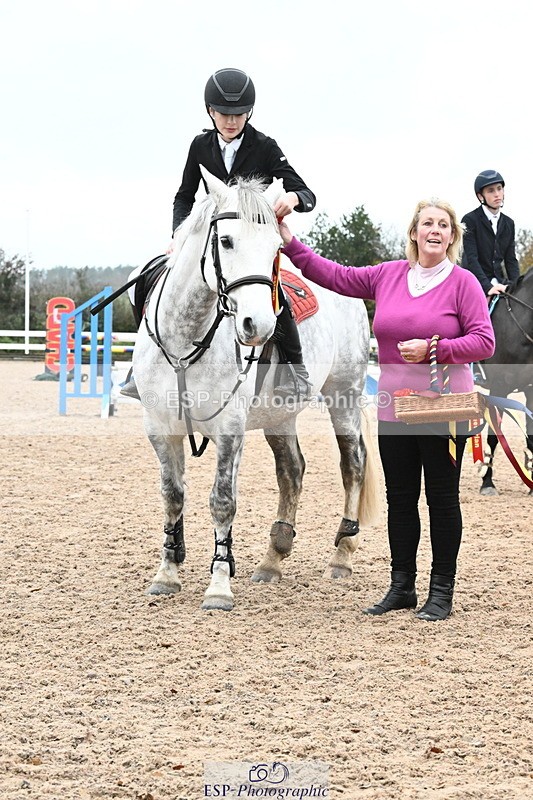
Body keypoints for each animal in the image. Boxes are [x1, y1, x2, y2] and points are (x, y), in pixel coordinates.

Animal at [132, 167, 380, 610]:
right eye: (226, 241)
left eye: (276, 248)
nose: (258, 326)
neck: (185, 341)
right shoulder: (159, 427)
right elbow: (172, 495)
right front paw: (167, 573)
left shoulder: (230, 428)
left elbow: (222, 501)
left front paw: (218, 585)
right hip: (279, 415)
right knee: (292, 470)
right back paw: (273, 559)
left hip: (345, 397)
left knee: (353, 463)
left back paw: (341, 556)